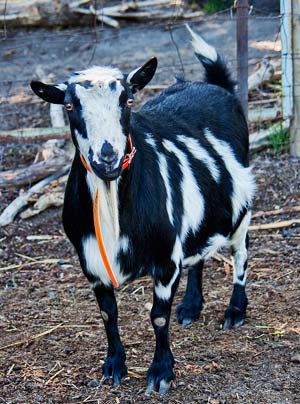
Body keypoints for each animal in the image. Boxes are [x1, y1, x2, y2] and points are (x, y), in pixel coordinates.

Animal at [30, 27, 255, 394]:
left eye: (128, 100)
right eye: (70, 105)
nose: (107, 158)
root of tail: (214, 85)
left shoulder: (165, 258)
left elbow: (158, 316)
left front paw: (161, 372)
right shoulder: (91, 262)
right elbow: (108, 315)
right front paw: (113, 366)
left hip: (242, 206)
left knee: (241, 252)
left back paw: (236, 310)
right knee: (199, 251)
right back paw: (191, 306)